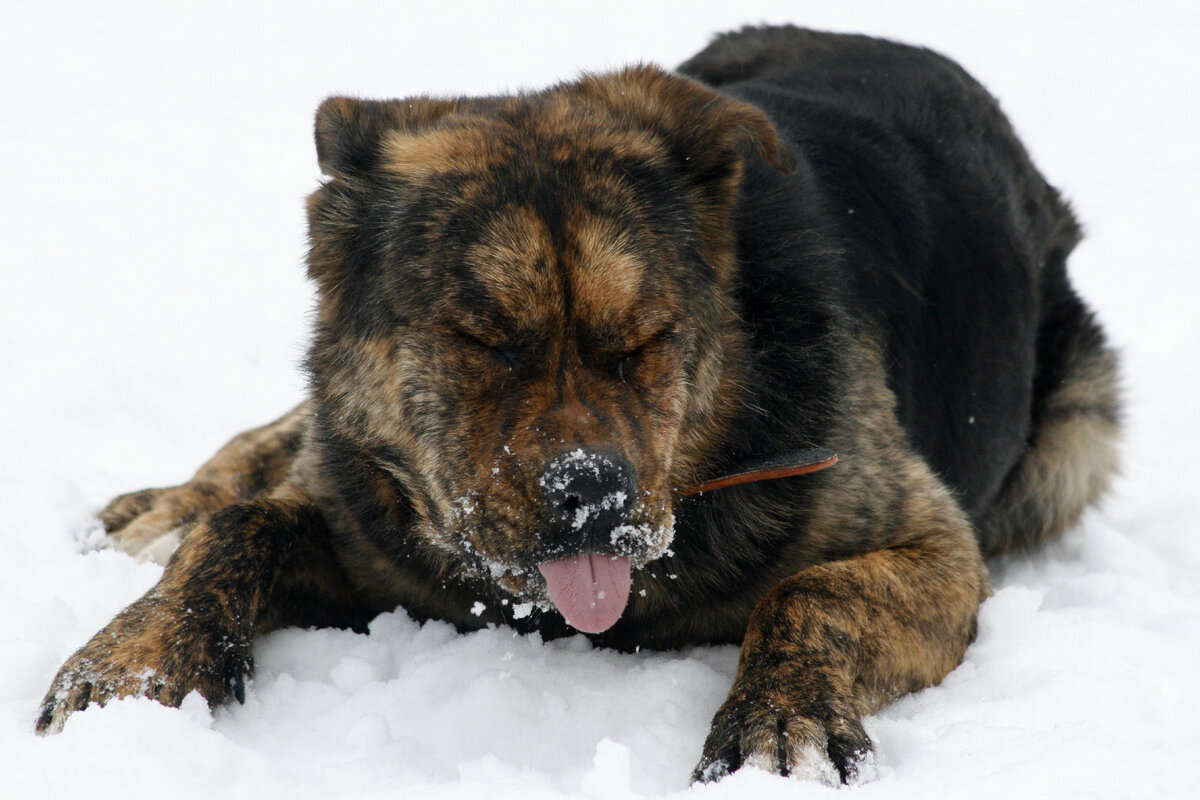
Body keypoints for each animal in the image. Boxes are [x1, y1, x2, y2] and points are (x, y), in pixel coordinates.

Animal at [39, 26, 1123, 786]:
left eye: (642, 339)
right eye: (482, 339)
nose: (594, 493)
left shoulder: (936, 545)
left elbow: (811, 592)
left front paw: (783, 728)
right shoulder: (369, 529)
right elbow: (241, 526)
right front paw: (134, 663)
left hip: (1078, 434)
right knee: (285, 432)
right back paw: (166, 504)